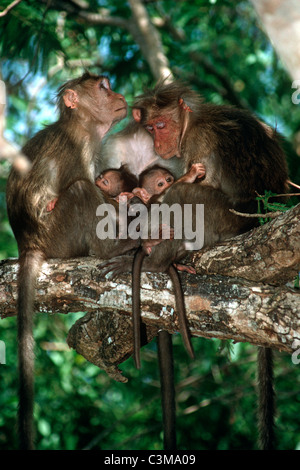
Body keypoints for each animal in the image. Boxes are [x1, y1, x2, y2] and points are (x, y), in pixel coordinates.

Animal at [4, 71, 138, 450]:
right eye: (104, 87)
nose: (119, 95)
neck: (81, 126)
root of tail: (29, 243)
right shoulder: (79, 149)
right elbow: (94, 191)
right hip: (58, 235)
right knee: (80, 191)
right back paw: (114, 249)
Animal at [104, 81, 290, 452]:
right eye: (151, 129)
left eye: (161, 126)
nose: (159, 143)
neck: (192, 122)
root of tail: (257, 223)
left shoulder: (196, 144)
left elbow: (182, 190)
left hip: (223, 221)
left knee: (185, 198)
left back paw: (159, 258)